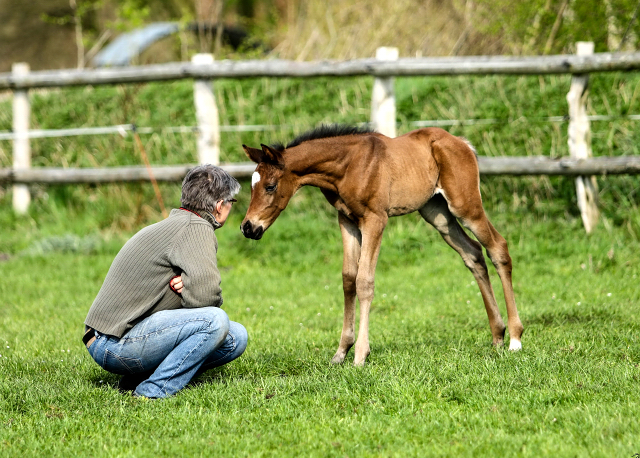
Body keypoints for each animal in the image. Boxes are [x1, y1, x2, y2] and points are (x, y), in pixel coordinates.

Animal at [240, 124, 520, 364]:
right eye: (251, 187)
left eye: (270, 186)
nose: (248, 227)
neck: (348, 166)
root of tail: (462, 143)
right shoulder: (347, 220)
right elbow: (348, 279)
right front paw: (341, 352)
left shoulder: (375, 219)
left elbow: (364, 281)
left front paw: (360, 355)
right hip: (437, 213)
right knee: (473, 253)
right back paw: (498, 335)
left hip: (465, 205)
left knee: (498, 248)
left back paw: (515, 339)